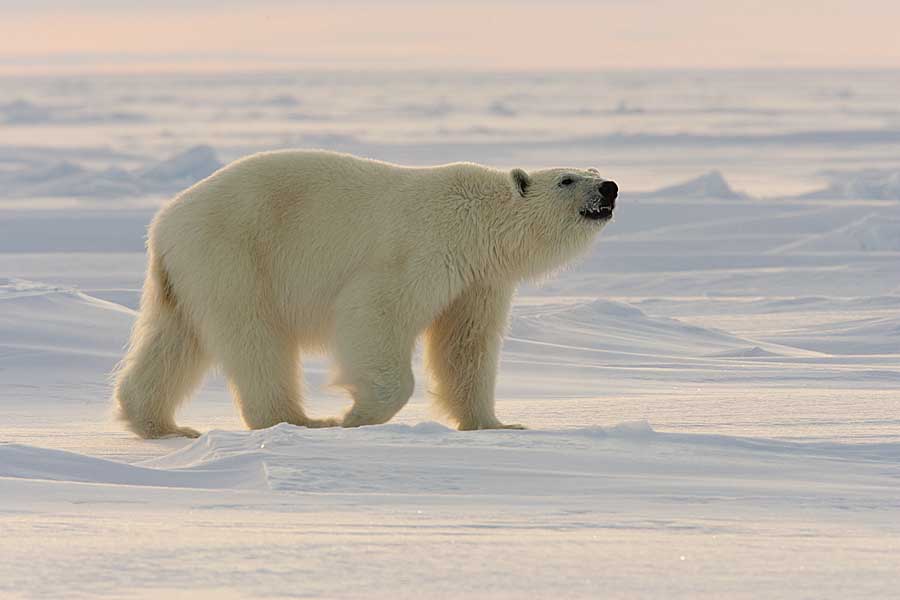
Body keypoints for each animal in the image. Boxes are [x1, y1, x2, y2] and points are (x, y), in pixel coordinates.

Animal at [112, 152, 620, 438]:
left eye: (592, 170)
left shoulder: (478, 282)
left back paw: (161, 424)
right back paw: (298, 420)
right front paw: (355, 415)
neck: (477, 220)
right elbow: (376, 311)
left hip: (187, 276)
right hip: (236, 254)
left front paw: (497, 424)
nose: (610, 186)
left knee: (173, 341)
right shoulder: (422, 248)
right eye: (566, 180)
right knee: (254, 338)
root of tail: (163, 224)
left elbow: (465, 346)